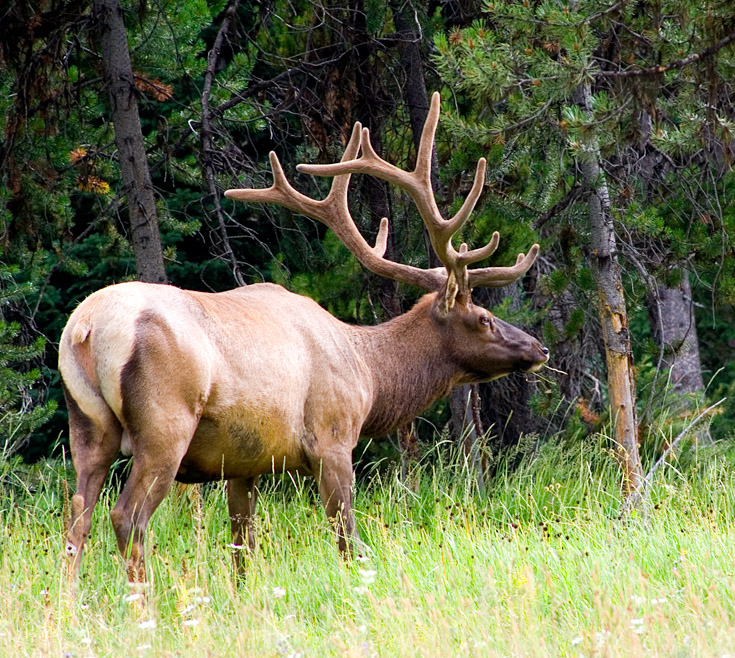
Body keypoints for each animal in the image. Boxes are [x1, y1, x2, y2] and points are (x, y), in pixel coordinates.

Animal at [60, 91, 548, 580]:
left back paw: (70, 599)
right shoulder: (332, 437)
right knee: (127, 516)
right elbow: (347, 538)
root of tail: (87, 326)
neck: (369, 377)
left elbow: (242, 546)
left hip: (87, 423)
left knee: (77, 514)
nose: (539, 348)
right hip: (165, 422)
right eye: (484, 317)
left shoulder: (244, 460)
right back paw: (144, 599)